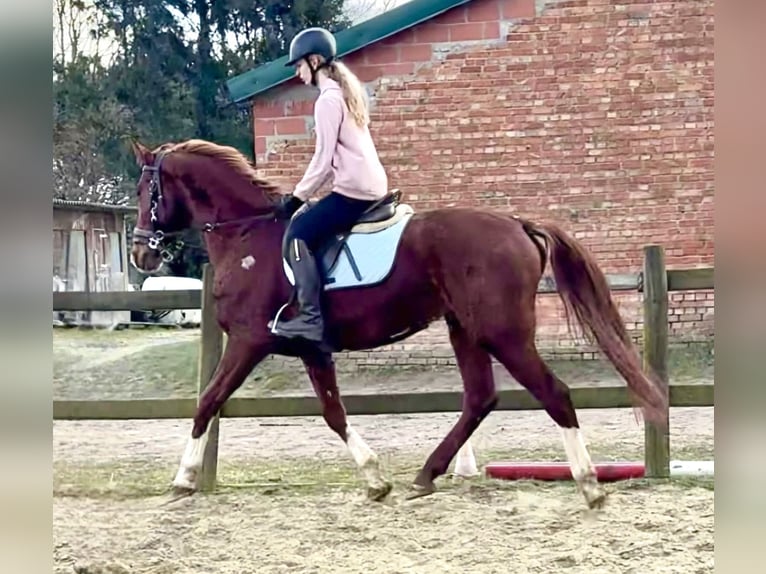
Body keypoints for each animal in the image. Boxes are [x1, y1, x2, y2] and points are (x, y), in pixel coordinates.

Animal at [130, 141, 664, 512]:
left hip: (504, 334)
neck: (248, 236)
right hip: (464, 330)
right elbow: (334, 414)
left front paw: (182, 480)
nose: (141, 254)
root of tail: (517, 223)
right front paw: (375, 480)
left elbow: (207, 402)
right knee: (480, 398)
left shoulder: (247, 341)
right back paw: (426, 476)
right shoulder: (313, 350)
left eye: (142, 191)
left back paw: (590, 486)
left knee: (554, 394)